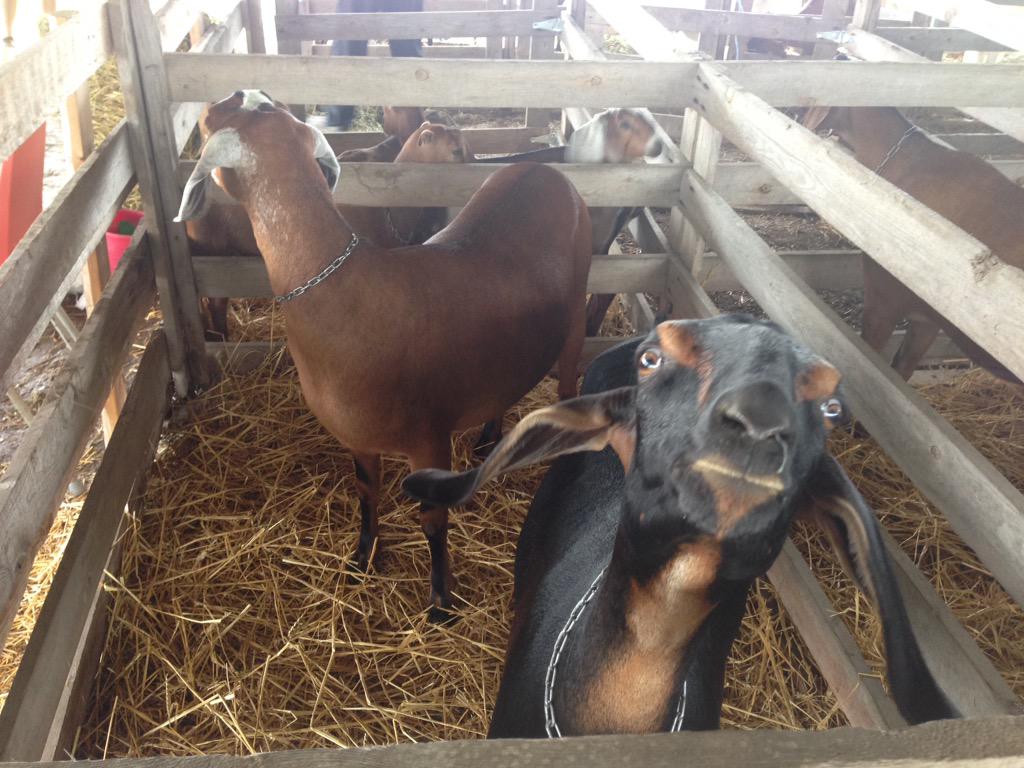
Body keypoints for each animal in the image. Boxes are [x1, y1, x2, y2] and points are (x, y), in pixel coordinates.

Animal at [176, 90, 591, 622]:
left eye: (214, 119)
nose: (226, 98)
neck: (343, 289)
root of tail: (546, 171)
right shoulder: (355, 435)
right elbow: (365, 493)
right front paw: (362, 557)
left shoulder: (429, 440)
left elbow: (432, 521)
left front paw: (440, 603)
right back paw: (487, 440)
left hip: (577, 311)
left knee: (568, 381)